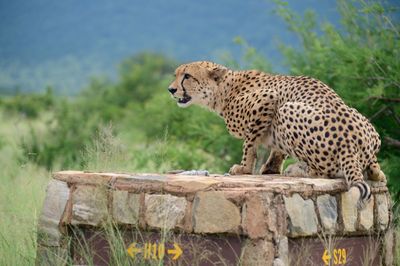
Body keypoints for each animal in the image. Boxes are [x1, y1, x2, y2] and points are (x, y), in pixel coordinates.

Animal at [168, 60, 384, 208]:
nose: (171, 89)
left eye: (187, 76)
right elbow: (277, 149)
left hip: (286, 108)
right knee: (375, 171)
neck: (223, 90)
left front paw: (244, 167)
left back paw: (297, 169)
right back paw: (377, 172)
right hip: (367, 129)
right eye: (176, 74)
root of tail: (351, 143)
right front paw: (271, 168)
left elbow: (249, 143)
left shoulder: (268, 98)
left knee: (322, 172)